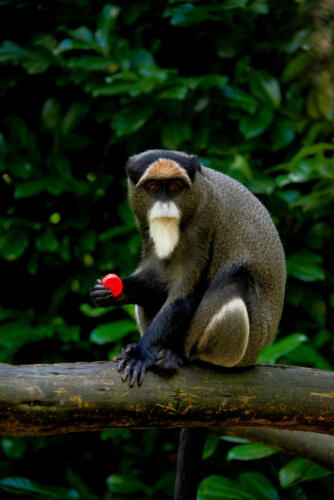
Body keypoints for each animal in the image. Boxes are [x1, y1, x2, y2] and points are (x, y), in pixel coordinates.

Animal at [90, 149, 286, 500]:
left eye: (174, 187)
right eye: (154, 187)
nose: (166, 206)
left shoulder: (205, 217)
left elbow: (185, 291)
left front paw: (139, 354)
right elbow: (158, 276)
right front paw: (113, 291)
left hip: (243, 347)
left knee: (236, 281)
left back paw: (176, 356)